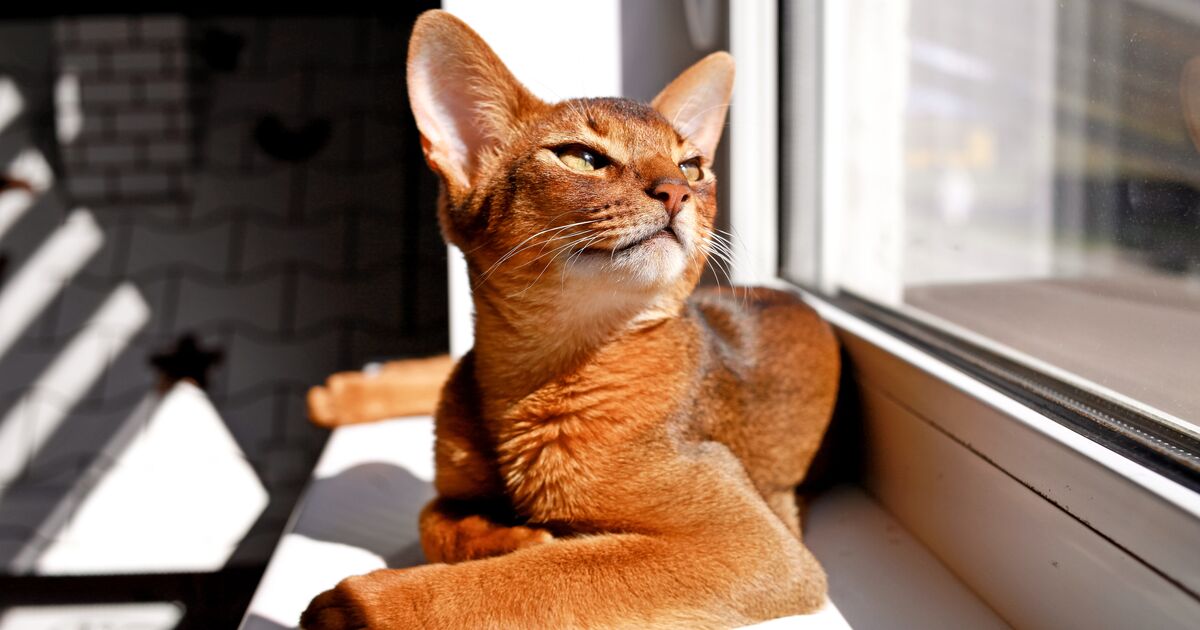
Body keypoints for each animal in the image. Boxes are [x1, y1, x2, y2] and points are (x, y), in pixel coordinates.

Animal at [300, 11, 840, 628]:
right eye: (581, 157)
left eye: (692, 165)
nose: (676, 191)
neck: (534, 379)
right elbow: (432, 514)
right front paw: (510, 534)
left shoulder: (753, 541)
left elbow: (536, 576)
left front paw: (355, 608)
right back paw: (341, 394)